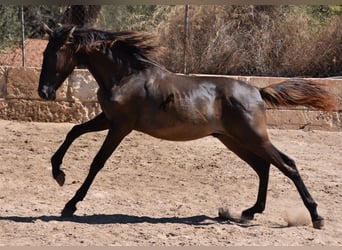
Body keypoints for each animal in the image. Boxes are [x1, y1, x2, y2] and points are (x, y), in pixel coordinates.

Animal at [36, 24, 336, 229]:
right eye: (44, 52)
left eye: (54, 53)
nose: (44, 92)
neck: (127, 75)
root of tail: (257, 92)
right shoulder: (107, 119)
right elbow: (73, 131)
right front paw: (58, 173)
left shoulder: (120, 126)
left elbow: (97, 162)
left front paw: (70, 204)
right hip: (233, 140)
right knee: (264, 167)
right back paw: (249, 212)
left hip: (254, 138)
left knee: (288, 165)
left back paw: (316, 216)